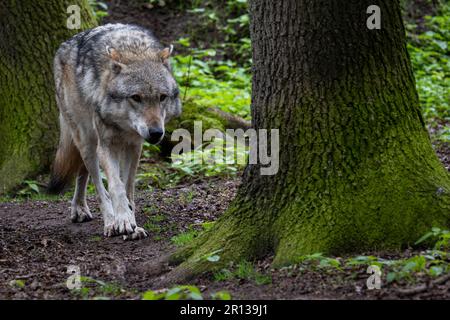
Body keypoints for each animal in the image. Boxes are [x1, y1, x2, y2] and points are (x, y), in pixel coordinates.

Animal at [48, 23, 181, 239]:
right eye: (136, 97)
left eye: (162, 97)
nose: (156, 133)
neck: (134, 51)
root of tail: (63, 46)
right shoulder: (106, 146)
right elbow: (115, 187)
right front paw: (123, 220)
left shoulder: (134, 147)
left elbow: (128, 188)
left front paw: (132, 222)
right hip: (88, 142)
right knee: (97, 184)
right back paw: (109, 221)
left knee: (83, 173)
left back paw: (80, 208)